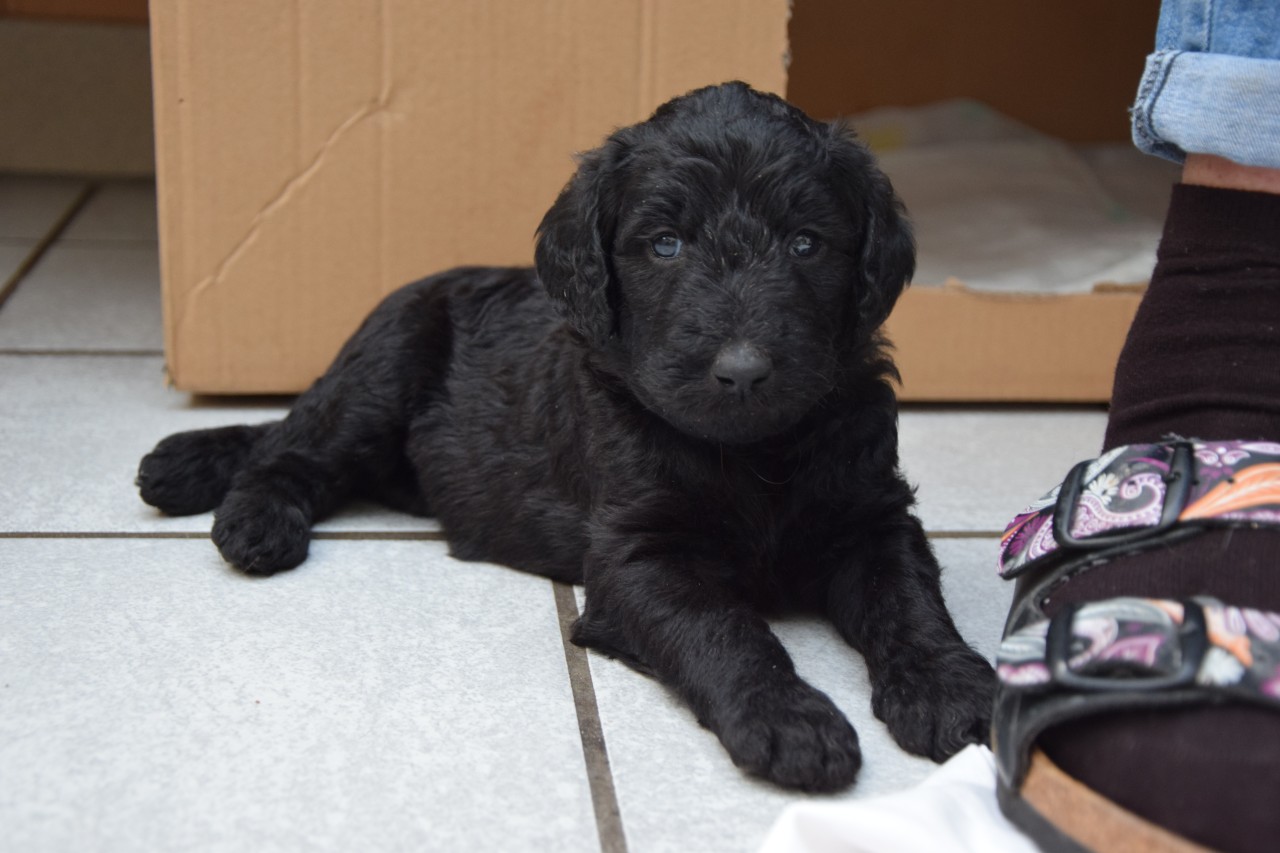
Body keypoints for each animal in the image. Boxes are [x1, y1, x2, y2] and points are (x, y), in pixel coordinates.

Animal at [142, 83, 998, 788]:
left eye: (805, 242)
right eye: (666, 243)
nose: (743, 370)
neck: (756, 452)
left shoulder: (873, 516)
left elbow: (910, 601)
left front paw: (954, 690)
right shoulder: (638, 556)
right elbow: (723, 627)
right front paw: (790, 720)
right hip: (381, 371)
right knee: (293, 445)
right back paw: (248, 515)